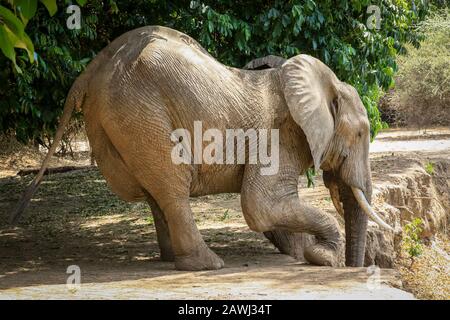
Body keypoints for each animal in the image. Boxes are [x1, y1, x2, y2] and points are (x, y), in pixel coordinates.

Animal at [11, 26, 398, 270]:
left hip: (116, 122)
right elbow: (259, 205)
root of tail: (89, 71)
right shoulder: (280, 136)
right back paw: (205, 264)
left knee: (155, 191)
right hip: (139, 110)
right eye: (361, 134)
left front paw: (305, 254)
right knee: (172, 185)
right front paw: (323, 257)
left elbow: (270, 210)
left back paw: (173, 259)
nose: (353, 268)